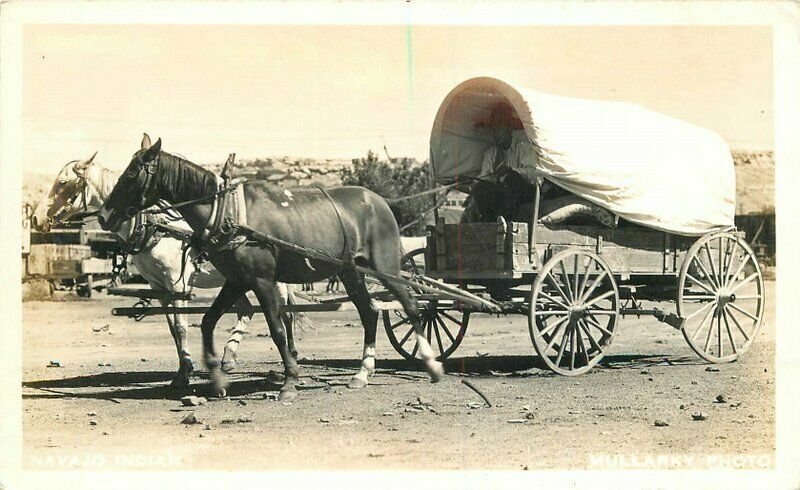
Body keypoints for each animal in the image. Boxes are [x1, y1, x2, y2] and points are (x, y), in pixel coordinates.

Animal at [32, 153, 304, 386]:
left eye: (62, 183)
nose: (35, 219)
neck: (150, 225)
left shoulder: (177, 283)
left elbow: (181, 326)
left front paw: (186, 372)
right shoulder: (158, 286)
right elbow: (173, 329)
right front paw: (183, 369)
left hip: (273, 279)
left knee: (286, 313)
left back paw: (290, 353)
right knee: (247, 310)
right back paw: (228, 358)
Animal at [98, 132, 444, 400]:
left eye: (131, 176)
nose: (103, 216)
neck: (227, 213)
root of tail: (380, 201)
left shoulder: (261, 280)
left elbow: (277, 329)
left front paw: (289, 381)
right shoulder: (236, 280)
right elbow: (208, 322)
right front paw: (217, 379)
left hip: (385, 267)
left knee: (412, 306)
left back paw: (431, 363)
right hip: (349, 271)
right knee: (370, 312)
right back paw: (362, 373)